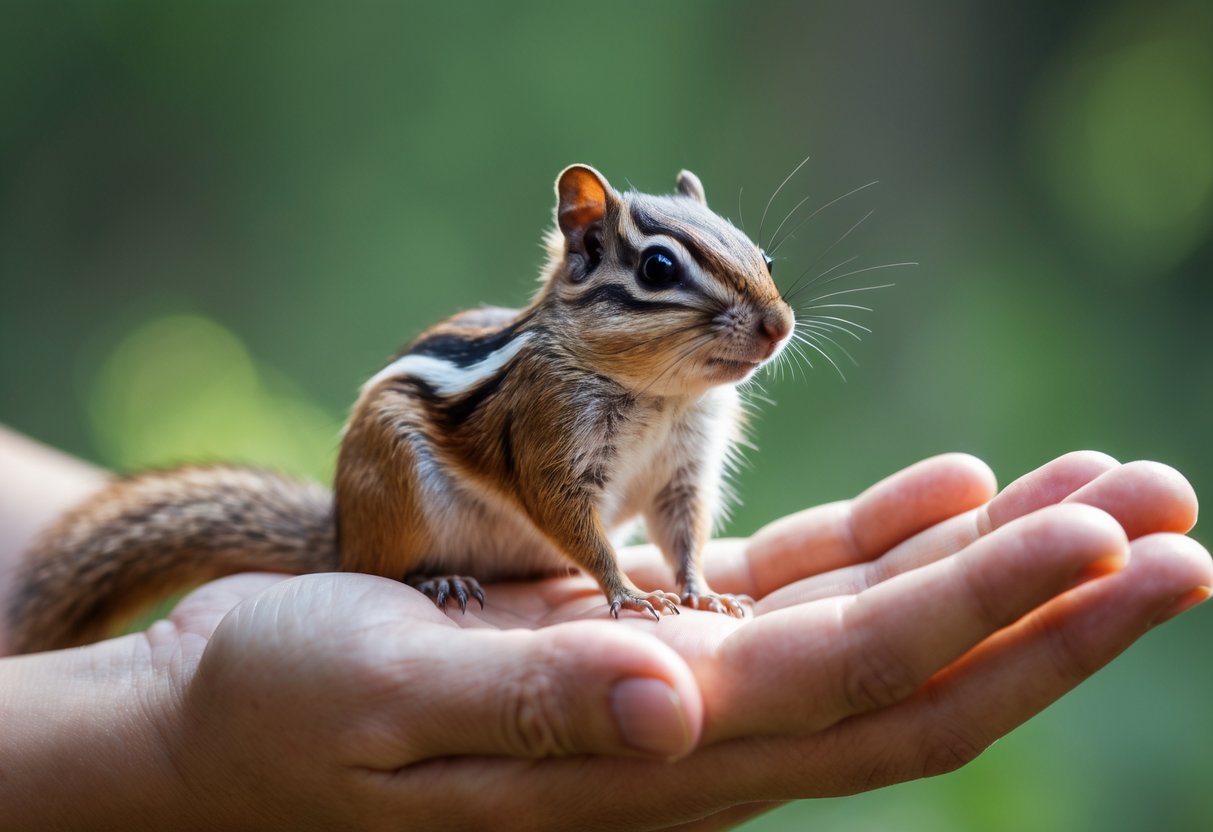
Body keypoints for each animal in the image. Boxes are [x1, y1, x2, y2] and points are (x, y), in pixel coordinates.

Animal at [6, 164, 794, 654]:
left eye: (765, 259)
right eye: (658, 269)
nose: (778, 325)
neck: (661, 395)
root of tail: (340, 533)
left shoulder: (683, 472)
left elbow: (684, 535)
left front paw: (703, 594)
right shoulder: (551, 442)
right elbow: (574, 521)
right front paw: (628, 594)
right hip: (395, 486)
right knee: (380, 569)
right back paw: (436, 578)